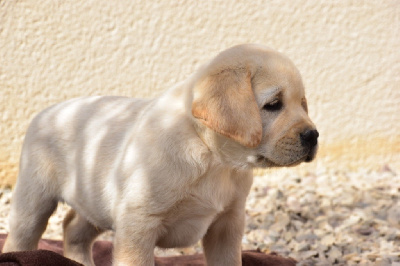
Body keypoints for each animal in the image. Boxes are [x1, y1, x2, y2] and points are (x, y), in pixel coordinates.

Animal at [1, 44, 318, 264]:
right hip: (34, 199)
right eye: (273, 104)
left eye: (303, 103)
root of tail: (49, 111)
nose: (313, 136)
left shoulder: (227, 224)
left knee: (73, 228)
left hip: (95, 201)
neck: (213, 159)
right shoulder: (138, 224)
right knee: (21, 238)